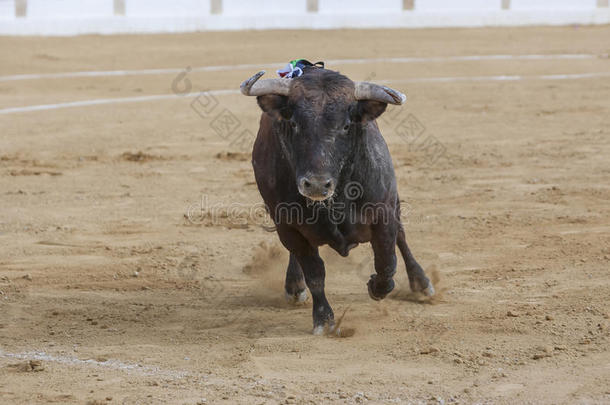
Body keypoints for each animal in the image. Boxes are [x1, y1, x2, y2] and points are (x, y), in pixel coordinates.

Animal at [240, 66, 434, 332]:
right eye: (294, 123)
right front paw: (324, 320)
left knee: (402, 238)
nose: (316, 184)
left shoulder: (384, 215)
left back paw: (422, 284)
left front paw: (375, 287)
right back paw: (294, 286)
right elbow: (314, 273)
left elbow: (387, 263)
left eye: (346, 125)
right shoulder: (288, 227)